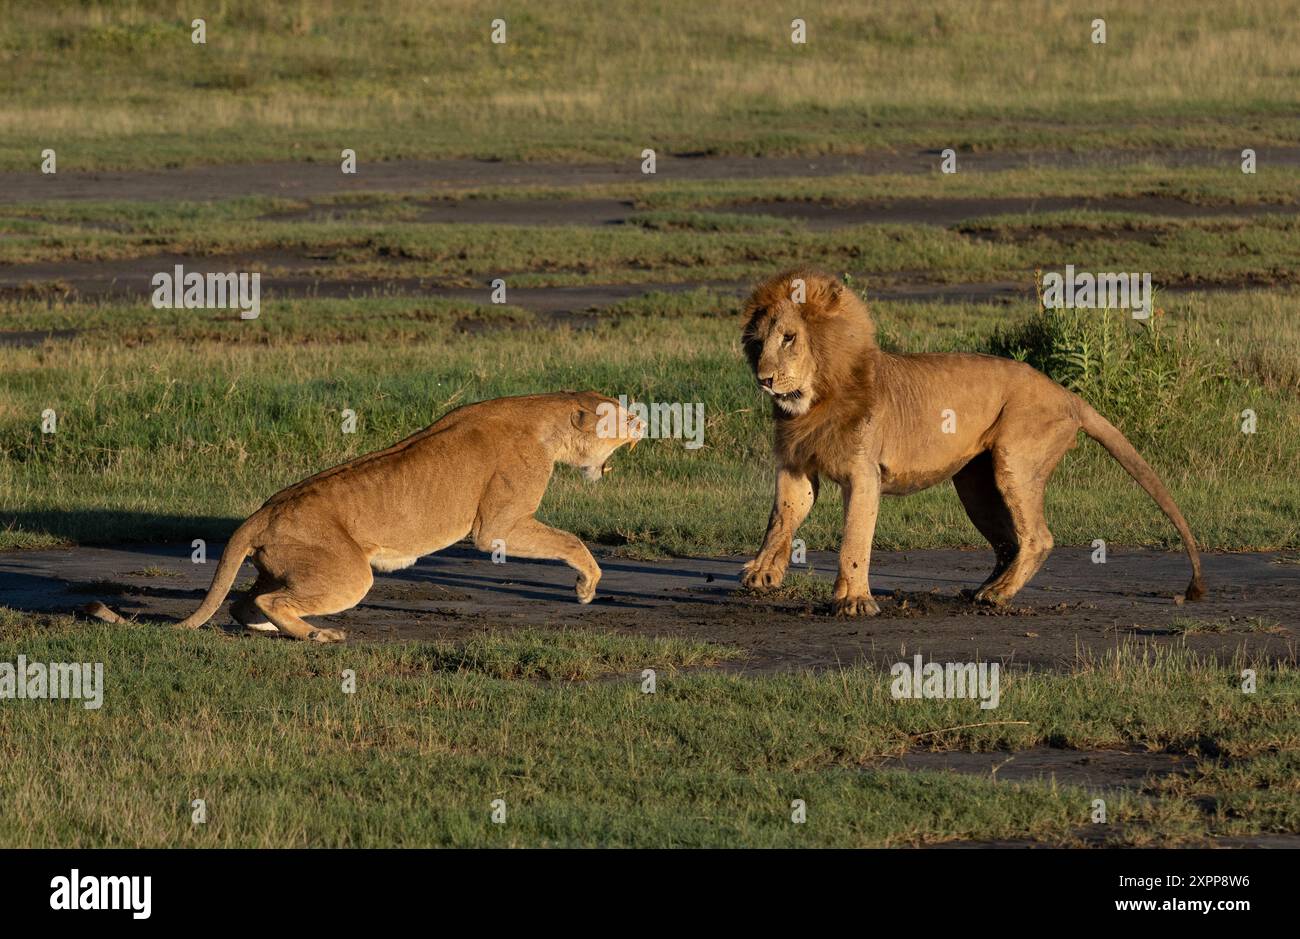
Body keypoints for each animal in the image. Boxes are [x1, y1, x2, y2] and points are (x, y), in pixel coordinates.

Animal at [175, 390, 642, 639]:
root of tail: (263, 511)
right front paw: (586, 586)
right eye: (622, 415)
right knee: (268, 600)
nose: (643, 422)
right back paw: (318, 634)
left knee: (244, 603)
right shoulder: (497, 527)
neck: (545, 416)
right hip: (350, 574)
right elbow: (571, 541)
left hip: (284, 567)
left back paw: (281, 627)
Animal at [743, 266, 1206, 611]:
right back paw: (983, 589)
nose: (763, 379)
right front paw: (763, 571)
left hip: (1016, 461)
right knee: (1008, 540)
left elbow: (854, 538)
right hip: (975, 482)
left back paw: (998, 595)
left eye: (790, 338)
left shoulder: (864, 473)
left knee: (1037, 537)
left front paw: (853, 602)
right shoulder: (797, 466)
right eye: (759, 342)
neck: (816, 397)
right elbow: (781, 519)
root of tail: (1067, 394)